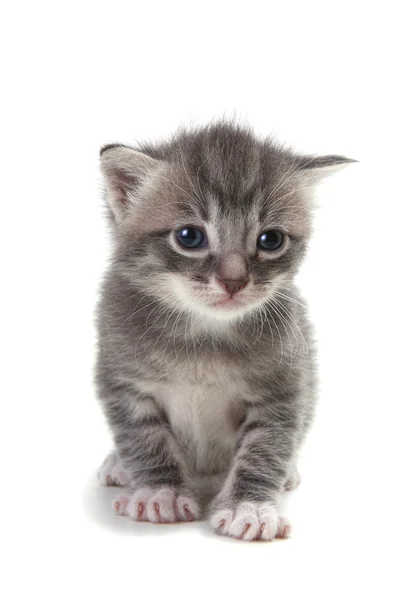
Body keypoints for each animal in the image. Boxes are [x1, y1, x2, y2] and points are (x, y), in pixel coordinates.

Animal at [94, 120, 354, 540]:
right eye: (189, 237)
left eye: (271, 240)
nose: (234, 281)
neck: (204, 333)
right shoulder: (122, 381)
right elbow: (145, 439)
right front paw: (160, 492)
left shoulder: (283, 389)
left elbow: (264, 449)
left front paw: (250, 507)